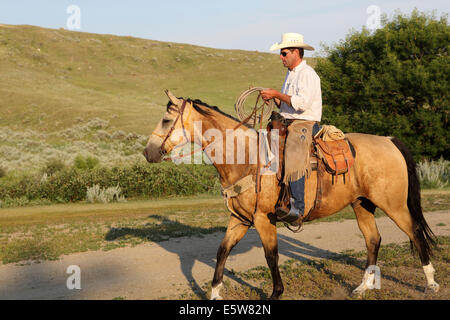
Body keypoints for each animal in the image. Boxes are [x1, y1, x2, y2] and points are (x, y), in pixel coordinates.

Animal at [143, 90, 440, 300]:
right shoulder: (239, 219)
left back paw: (431, 282)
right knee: (373, 240)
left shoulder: (263, 219)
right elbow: (222, 251)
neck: (246, 158)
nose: (148, 152)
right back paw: (363, 287)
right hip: (362, 204)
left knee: (415, 232)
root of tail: (388, 140)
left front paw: (276, 293)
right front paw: (215, 293)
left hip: (393, 204)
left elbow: (271, 256)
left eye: (167, 120)